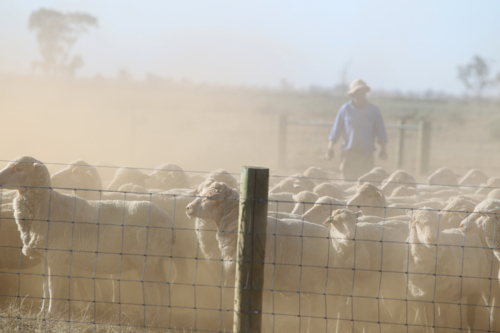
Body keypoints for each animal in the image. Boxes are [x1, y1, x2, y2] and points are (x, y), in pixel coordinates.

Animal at [0, 156, 175, 326]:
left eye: (20, 169)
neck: (47, 206)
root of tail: (167, 220)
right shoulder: (45, 256)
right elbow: (45, 287)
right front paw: (42, 312)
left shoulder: (56, 256)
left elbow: (53, 286)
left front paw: (51, 312)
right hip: (157, 260)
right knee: (163, 289)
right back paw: (162, 318)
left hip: (144, 259)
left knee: (151, 290)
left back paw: (145, 319)